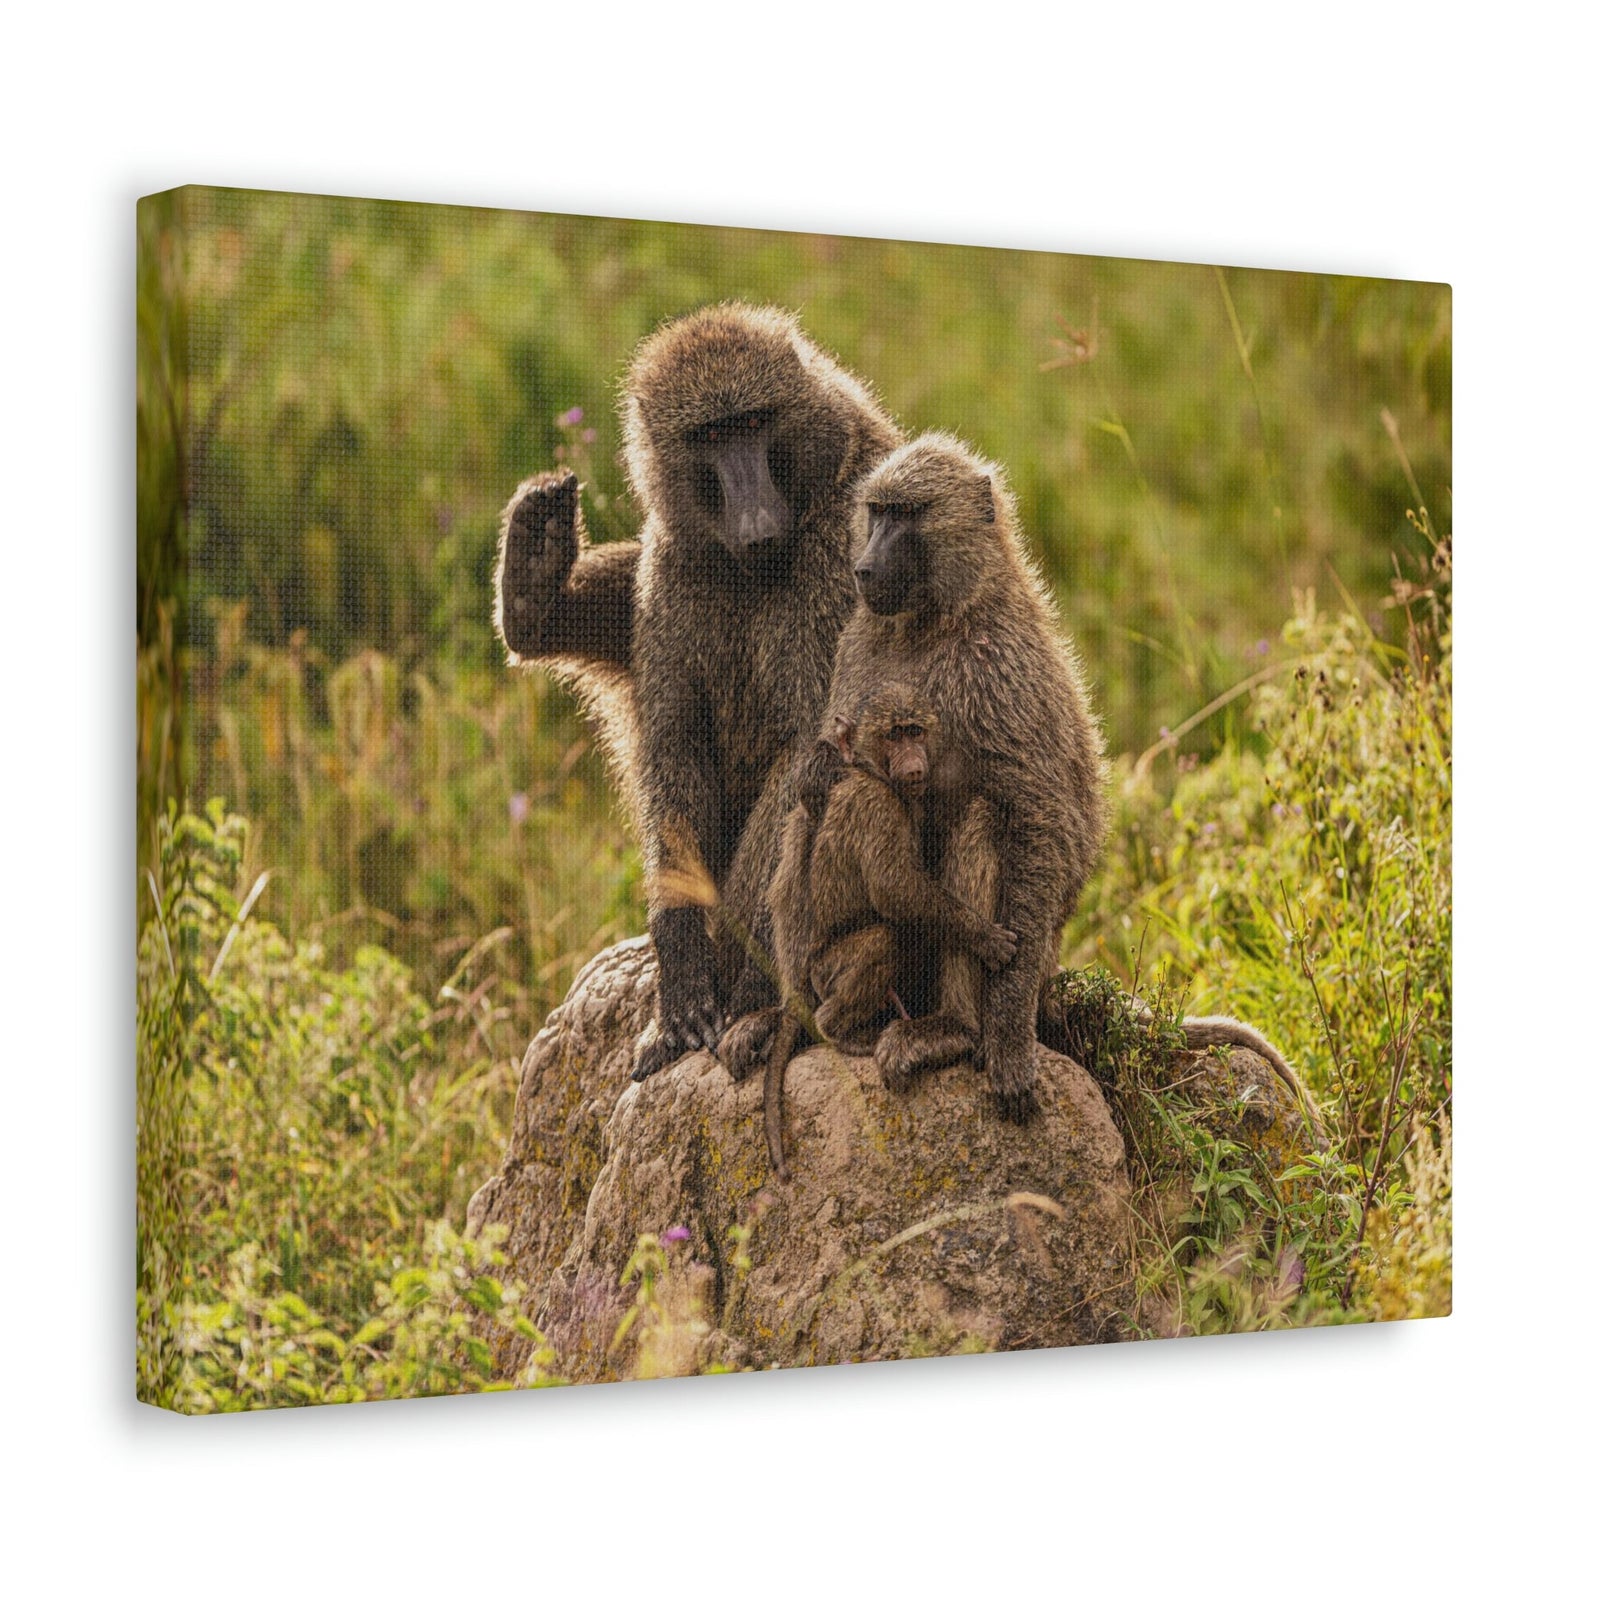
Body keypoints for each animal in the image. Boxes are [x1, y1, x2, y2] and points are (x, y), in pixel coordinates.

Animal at [493, 304, 902, 1085]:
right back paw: (532, 593)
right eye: (711, 436)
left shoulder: (845, 559)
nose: (757, 521)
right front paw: (682, 974)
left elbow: (812, 755)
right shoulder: (678, 564)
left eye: (755, 421)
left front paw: (737, 991)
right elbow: (674, 740)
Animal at [720, 685, 1018, 1175]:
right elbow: (896, 890)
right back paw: (838, 1031)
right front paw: (983, 936)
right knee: (882, 939)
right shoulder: (877, 804)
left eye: (914, 731)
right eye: (894, 735)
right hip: (826, 973)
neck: (869, 771)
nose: (914, 761)